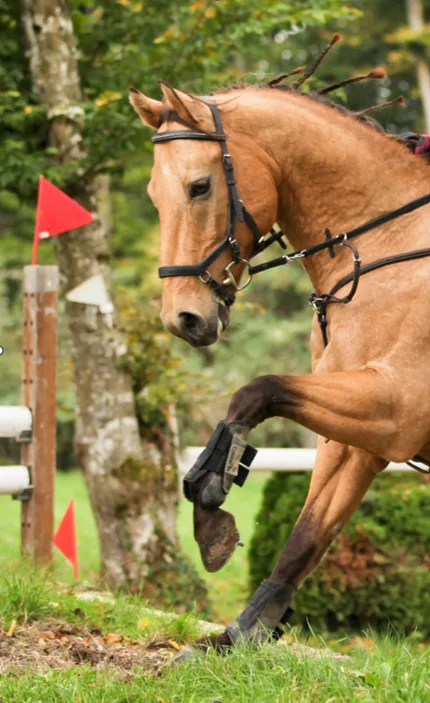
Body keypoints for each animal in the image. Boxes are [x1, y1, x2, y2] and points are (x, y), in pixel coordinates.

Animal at [129, 60, 430, 654]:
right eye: (153, 193)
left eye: (200, 186)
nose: (182, 320)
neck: (388, 244)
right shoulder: (360, 435)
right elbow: (309, 532)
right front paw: (241, 632)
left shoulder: (397, 408)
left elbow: (257, 390)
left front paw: (211, 498)